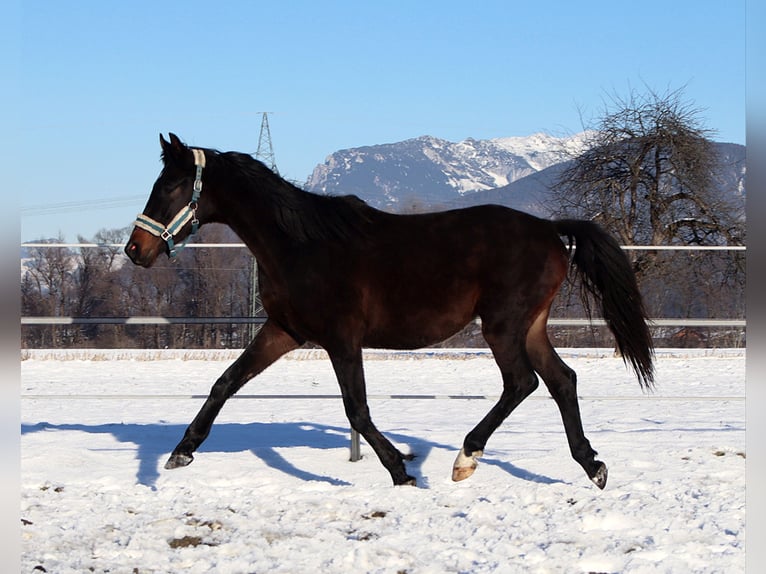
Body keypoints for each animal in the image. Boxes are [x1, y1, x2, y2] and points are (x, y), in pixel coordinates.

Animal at [126, 135, 656, 490]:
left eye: (170, 186)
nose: (135, 250)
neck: (301, 244)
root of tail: (549, 229)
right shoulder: (284, 331)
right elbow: (226, 382)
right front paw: (180, 453)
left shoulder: (341, 338)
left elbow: (356, 409)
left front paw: (402, 469)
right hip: (529, 327)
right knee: (562, 380)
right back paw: (592, 465)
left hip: (503, 326)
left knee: (522, 383)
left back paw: (466, 458)